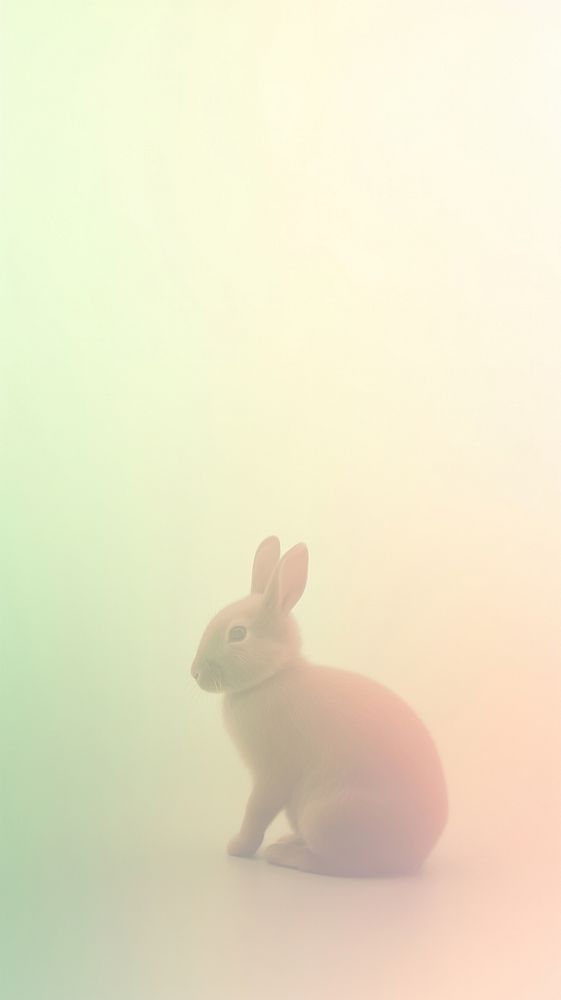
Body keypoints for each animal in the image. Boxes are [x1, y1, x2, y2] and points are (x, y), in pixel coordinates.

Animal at [190, 536, 448, 877]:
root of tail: (416, 855)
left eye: (238, 633)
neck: (272, 676)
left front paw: (237, 848)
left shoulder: (272, 773)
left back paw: (282, 855)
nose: (193, 672)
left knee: (344, 863)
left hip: (327, 814)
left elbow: (256, 812)